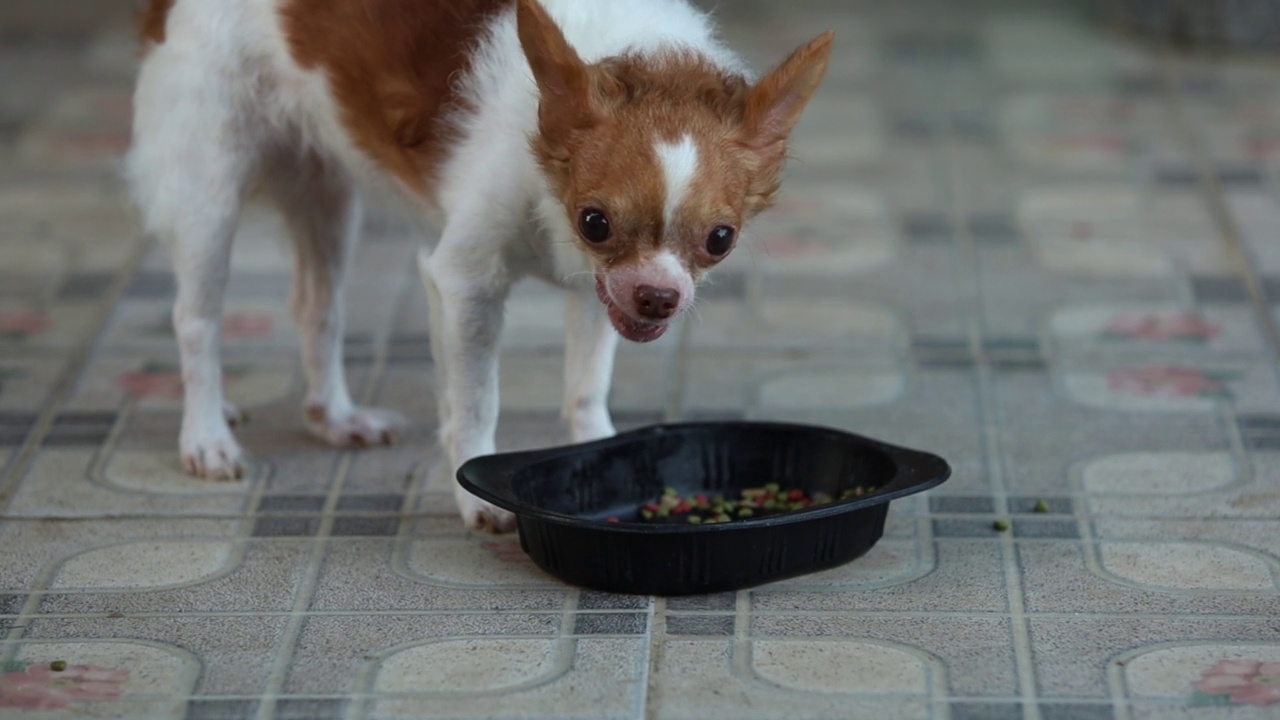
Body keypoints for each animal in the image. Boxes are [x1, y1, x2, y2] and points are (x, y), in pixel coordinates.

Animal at [124, 0, 834, 527]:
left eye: (720, 238)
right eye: (595, 222)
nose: (659, 298)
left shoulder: (601, 288)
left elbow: (586, 387)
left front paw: (597, 449)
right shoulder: (466, 283)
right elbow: (475, 400)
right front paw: (477, 498)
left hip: (323, 188)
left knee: (314, 305)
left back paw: (336, 417)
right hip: (209, 186)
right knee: (195, 318)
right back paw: (206, 435)